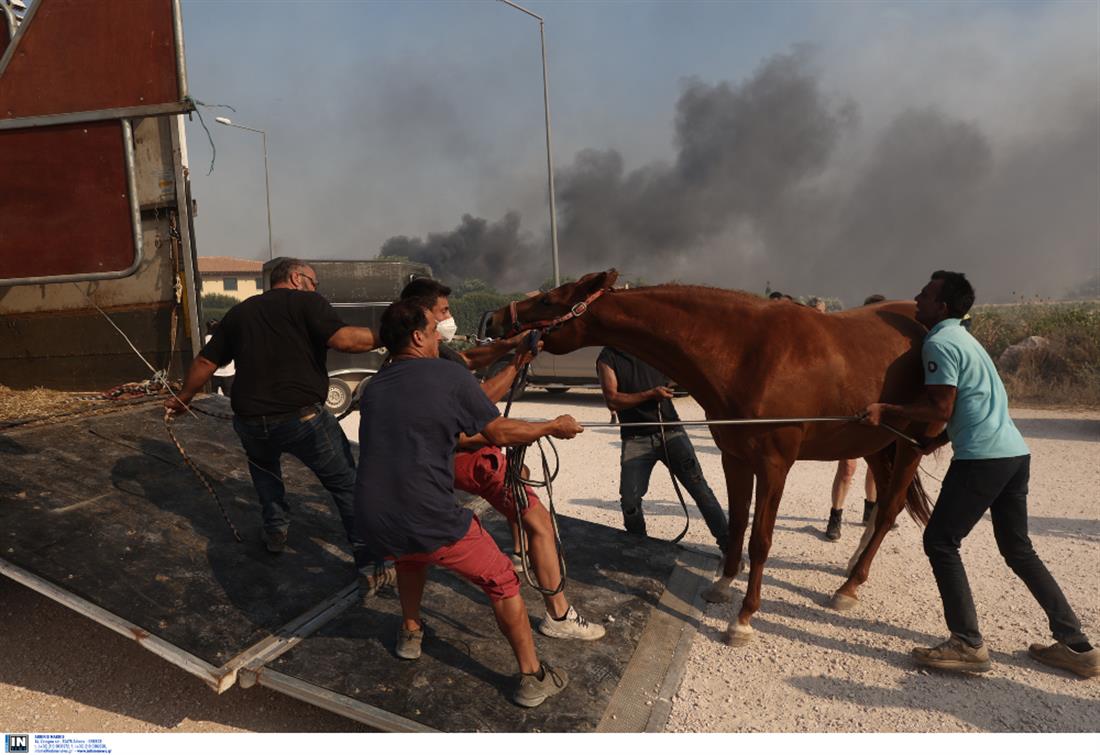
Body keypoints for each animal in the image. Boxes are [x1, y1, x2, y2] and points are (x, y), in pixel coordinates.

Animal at [484, 269, 937, 647]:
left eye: (547, 300)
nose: (492, 320)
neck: (752, 354)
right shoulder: (734, 458)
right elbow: (735, 523)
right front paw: (722, 586)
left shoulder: (775, 465)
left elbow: (760, 539)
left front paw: (743, 619)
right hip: (876, 443)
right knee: (884, 506)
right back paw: (852, 568)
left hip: (910, 445)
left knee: (890, 509)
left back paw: (848, 587)